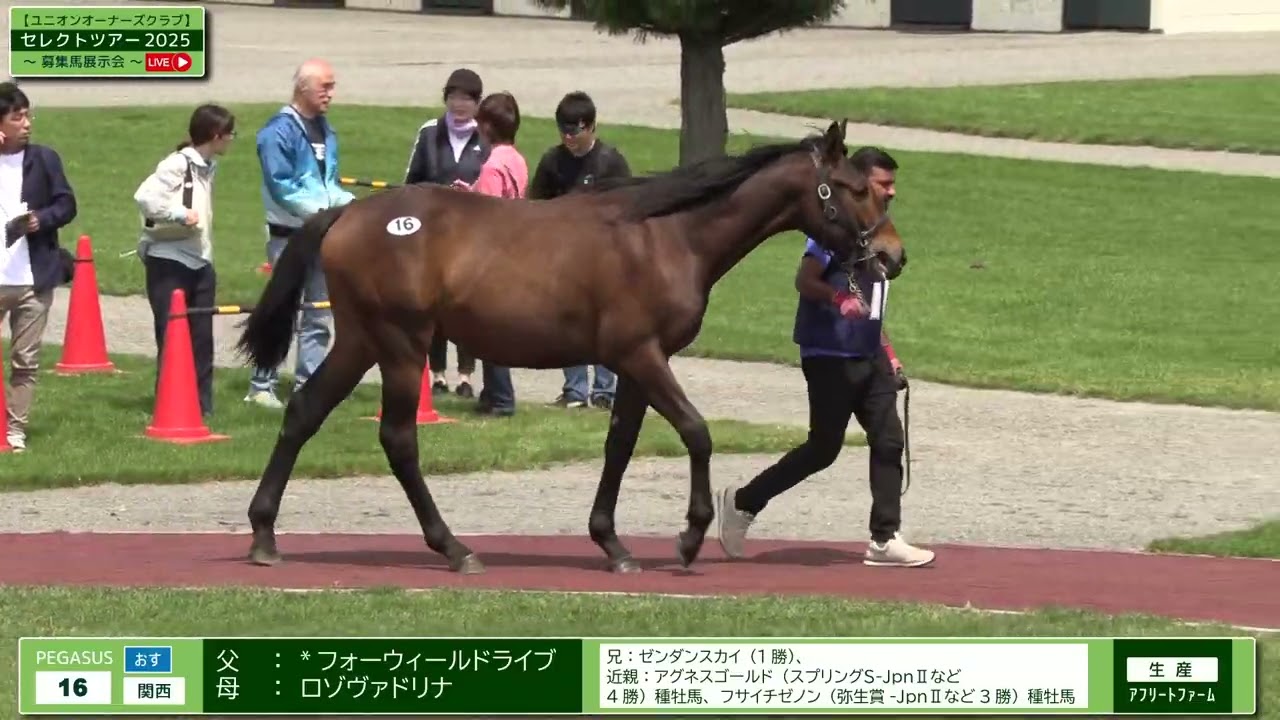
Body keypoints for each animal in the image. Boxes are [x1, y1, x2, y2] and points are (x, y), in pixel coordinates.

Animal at [234, 119, 905, 575]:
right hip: (401, 344)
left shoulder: (635, 364)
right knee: (398, 439)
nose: (892, 255)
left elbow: (620, 444)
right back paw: (453, 547)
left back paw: (265, 534)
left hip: (361, 340)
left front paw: (611, 541)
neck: (667, 234)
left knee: (305, 411)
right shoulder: (642, 355)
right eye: (853, 188)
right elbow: (696, 432)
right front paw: (690, 537)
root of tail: (346, 217)